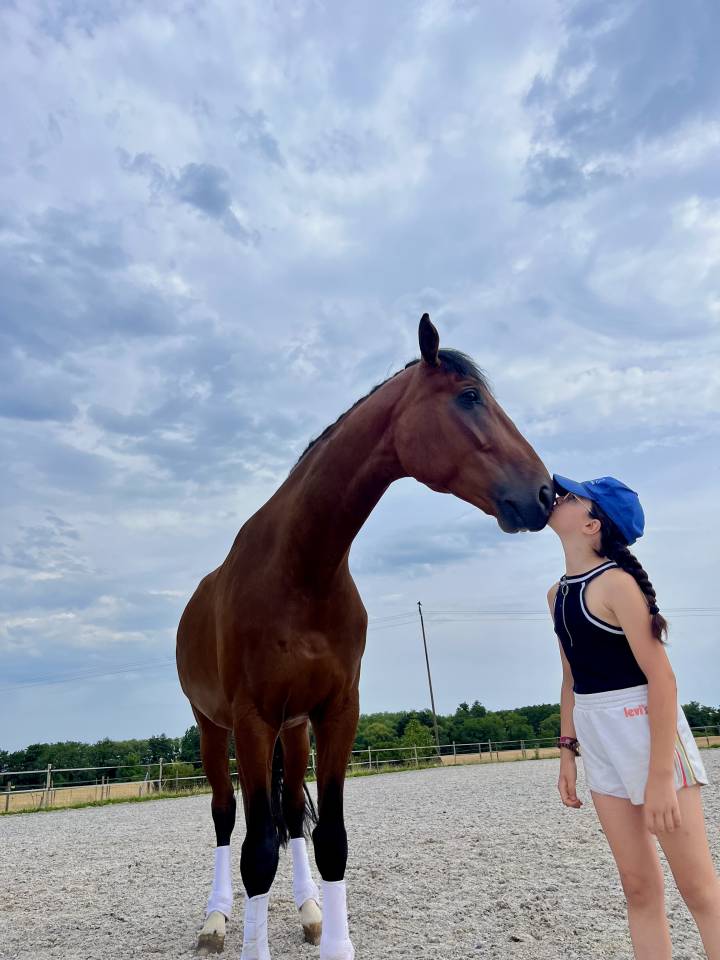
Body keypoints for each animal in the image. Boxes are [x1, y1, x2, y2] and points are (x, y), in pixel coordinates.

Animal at [176, 314, 553, 959]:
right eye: (469, 397)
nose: (546, 493)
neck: (301, 568)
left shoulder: (336, 712)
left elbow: (329, 838)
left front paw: (330, 933)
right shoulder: (251, 719)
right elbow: (255, 853)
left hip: (294, 729)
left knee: (289, 819)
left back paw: (307, 910)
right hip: (213, 728)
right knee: (227, 819)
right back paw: (216, 920)